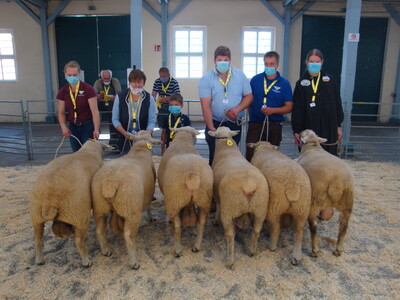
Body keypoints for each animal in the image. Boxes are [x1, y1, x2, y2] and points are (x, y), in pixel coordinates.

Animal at [91, 131, 159, 270]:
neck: (139, 149)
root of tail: (110, 182)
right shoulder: (149, 192)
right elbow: (148, 205)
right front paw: (150, 218)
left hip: (99, 207)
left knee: (100, 231)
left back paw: (106, 251)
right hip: (131, 209)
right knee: (129, 236)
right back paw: (134, 263)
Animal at [156, 126, 214, 258]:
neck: (183, 141)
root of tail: (191, 176)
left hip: (174, 200)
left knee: (177, 227)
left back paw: (177, 249)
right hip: (204, 200)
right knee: (201, 224)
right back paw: (196, 246)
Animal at [209, 126, 268, 268]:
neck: (227, 149)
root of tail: (248, 185)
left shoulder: (217, 195)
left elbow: (217, 205)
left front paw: (216, 220)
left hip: (230, 209)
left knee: (230, 235)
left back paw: (230, 261)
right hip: (260, 208)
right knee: (256, 230)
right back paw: (252, 251)